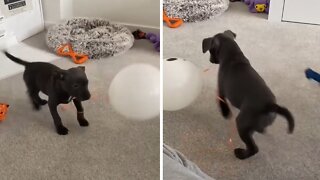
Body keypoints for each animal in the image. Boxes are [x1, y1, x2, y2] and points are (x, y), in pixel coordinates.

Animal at [202, 30, 296, 160]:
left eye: (211, 50)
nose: (210, 60)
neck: (233, 55)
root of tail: (270, 106)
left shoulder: (221, 90)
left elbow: (222, 102)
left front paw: (225, 113)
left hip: (242, 124)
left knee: (253, 148)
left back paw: (240, 154)